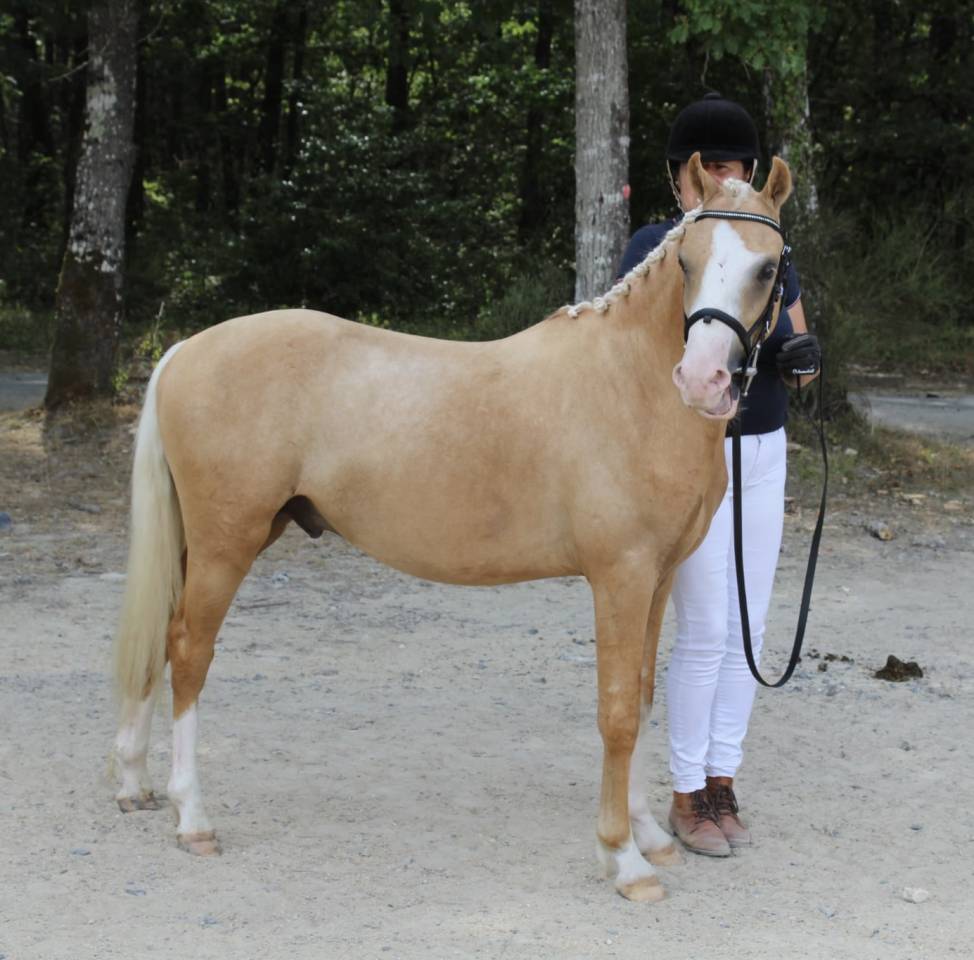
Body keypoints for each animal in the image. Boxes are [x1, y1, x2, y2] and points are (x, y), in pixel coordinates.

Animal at [112, 153, 793, 903]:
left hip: (208, 542)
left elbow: (642, 700)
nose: (701, 381)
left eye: (767, 267)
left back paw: (134, 783)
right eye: (687, 260)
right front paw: (624, 860)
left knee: (160, 638)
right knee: (188, 652)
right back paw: (192, 817)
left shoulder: (658, 578)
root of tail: (184, 351)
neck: (629, 388)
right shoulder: (621, 577)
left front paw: (648, 837)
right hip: (226, 544)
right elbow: (616, 711)